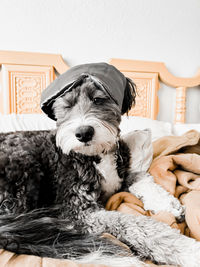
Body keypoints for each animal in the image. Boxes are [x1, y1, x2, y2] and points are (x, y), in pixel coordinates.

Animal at [0, 63, 199, 267]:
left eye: (98, 99)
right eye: (67, 105)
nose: (83, 133)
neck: (96, 155)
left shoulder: (124, 171)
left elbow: (143, 179)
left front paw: (168, 204)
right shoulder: (82, 211)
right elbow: (134, 224)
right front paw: (185, 250)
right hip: (23, 166)